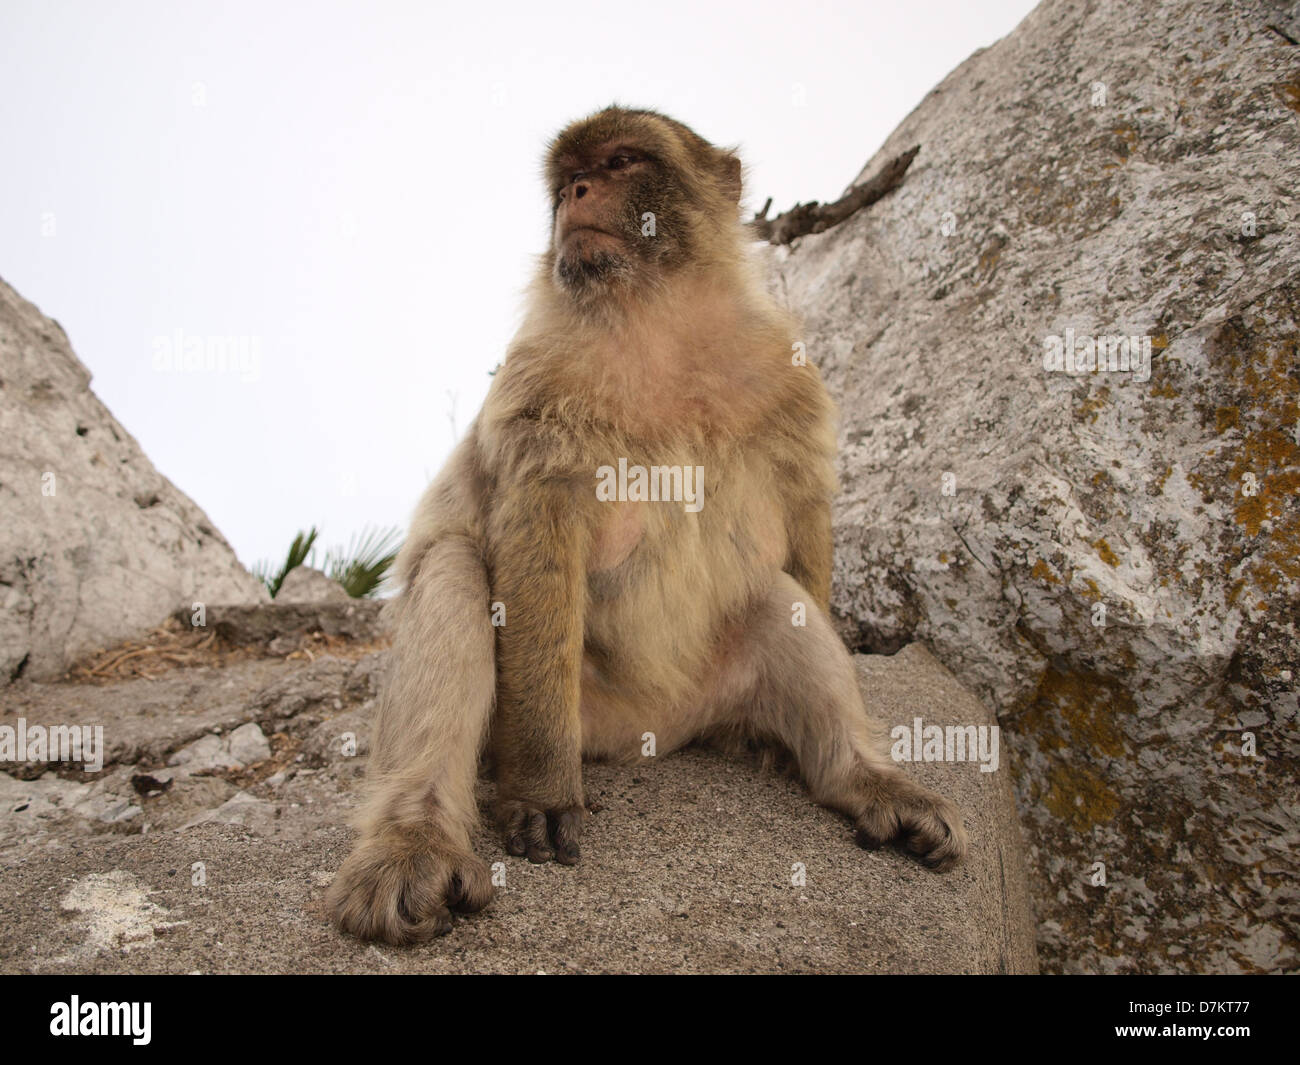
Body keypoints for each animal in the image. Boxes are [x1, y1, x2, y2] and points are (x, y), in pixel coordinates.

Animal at [327, 105, 967, 941]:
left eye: (621, 160)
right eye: (567, 177)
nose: (576, 192)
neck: (657, 319)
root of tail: (647, 734)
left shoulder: (787, 375)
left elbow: (803, 516)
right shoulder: (538, 381)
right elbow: (536, 539)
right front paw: (541, 794)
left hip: (707, 690)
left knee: (777, 597)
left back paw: (860, 778)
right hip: (572, 709)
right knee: (455, 572)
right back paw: (416, 843)